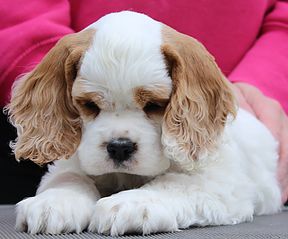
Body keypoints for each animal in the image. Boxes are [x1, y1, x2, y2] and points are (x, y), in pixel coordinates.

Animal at [6, 10, 282, 235]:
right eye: (89, 105)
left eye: (154, 105)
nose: (119, 147)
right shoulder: (72, 161)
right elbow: (68, 177)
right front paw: (52, 203)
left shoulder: (222, 183)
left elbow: (174, 184)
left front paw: (132, 203)